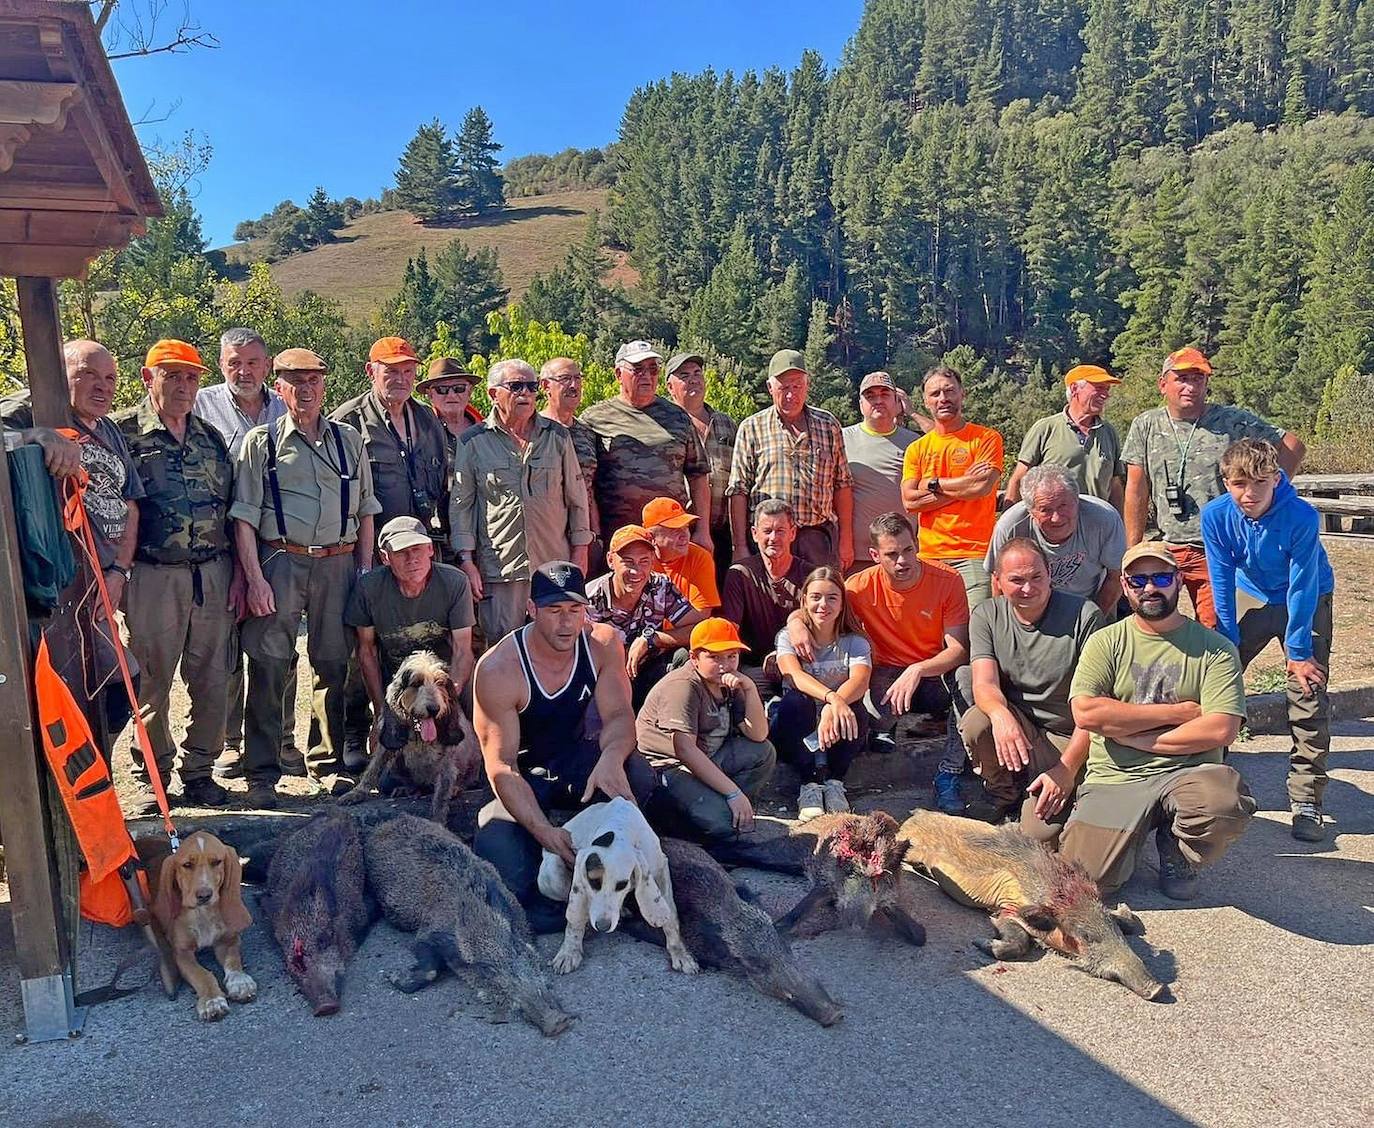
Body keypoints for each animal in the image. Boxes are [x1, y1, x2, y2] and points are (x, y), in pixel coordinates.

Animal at [151, 829, 256, 1022]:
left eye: (216, 862)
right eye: (187, 865)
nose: (204, 895)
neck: (203, 913)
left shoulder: (228, 941)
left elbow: (233, 961)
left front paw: (240, 983)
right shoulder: (182, 953)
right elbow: (202, 974)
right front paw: (212, 1000)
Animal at [336, 645, 478, 824]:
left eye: (440, 682)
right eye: (416, 683)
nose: (434, 709)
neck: (419, 736)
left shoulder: (447, 762)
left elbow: (441, 796)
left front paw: (437, 822)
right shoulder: (386, 747)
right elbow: (372, 770)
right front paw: (356, 793)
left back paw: (455, 788)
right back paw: (406, 788)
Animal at [530, 796, 692, 972]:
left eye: (622, 884)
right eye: (593, 882)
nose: (602, 926)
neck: (619, 828)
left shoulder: (661, 868)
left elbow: (671, 918)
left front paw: (680, 953)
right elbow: (574, 922)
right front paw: (569, 951)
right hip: (551, 873)